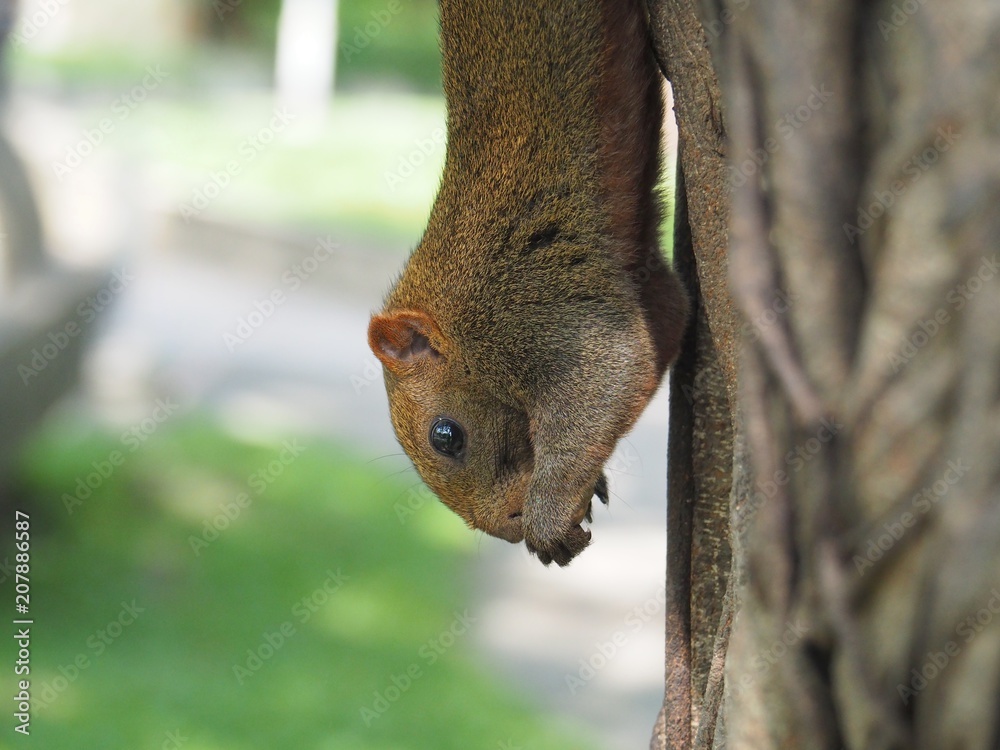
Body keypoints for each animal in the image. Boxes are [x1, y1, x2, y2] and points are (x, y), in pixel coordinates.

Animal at [368, 0, 689, 566]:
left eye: (446, 436)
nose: (508, 526)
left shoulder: (533, 309)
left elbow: (615, 367)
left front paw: (550, 516)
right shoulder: (644, 290)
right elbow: (664, 326)